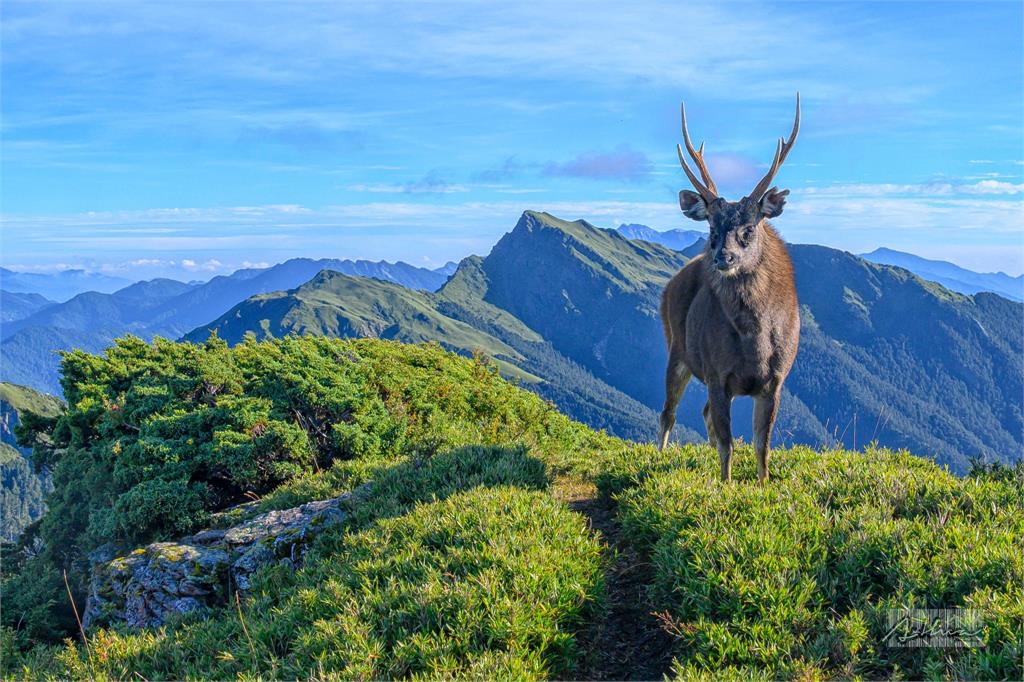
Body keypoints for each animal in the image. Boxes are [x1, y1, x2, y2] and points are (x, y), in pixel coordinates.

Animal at [655, 93, 806, 481]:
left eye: (749, 228)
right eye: (711, 226)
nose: (723, 256)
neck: (755, 341)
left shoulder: (776, 380)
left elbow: (762, 445)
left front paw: (763, 485)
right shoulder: (716, 372)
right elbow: (728, 444)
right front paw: (726, 485)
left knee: (703, 413)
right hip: (676, 347)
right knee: (668, 413)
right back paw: (658, 456)